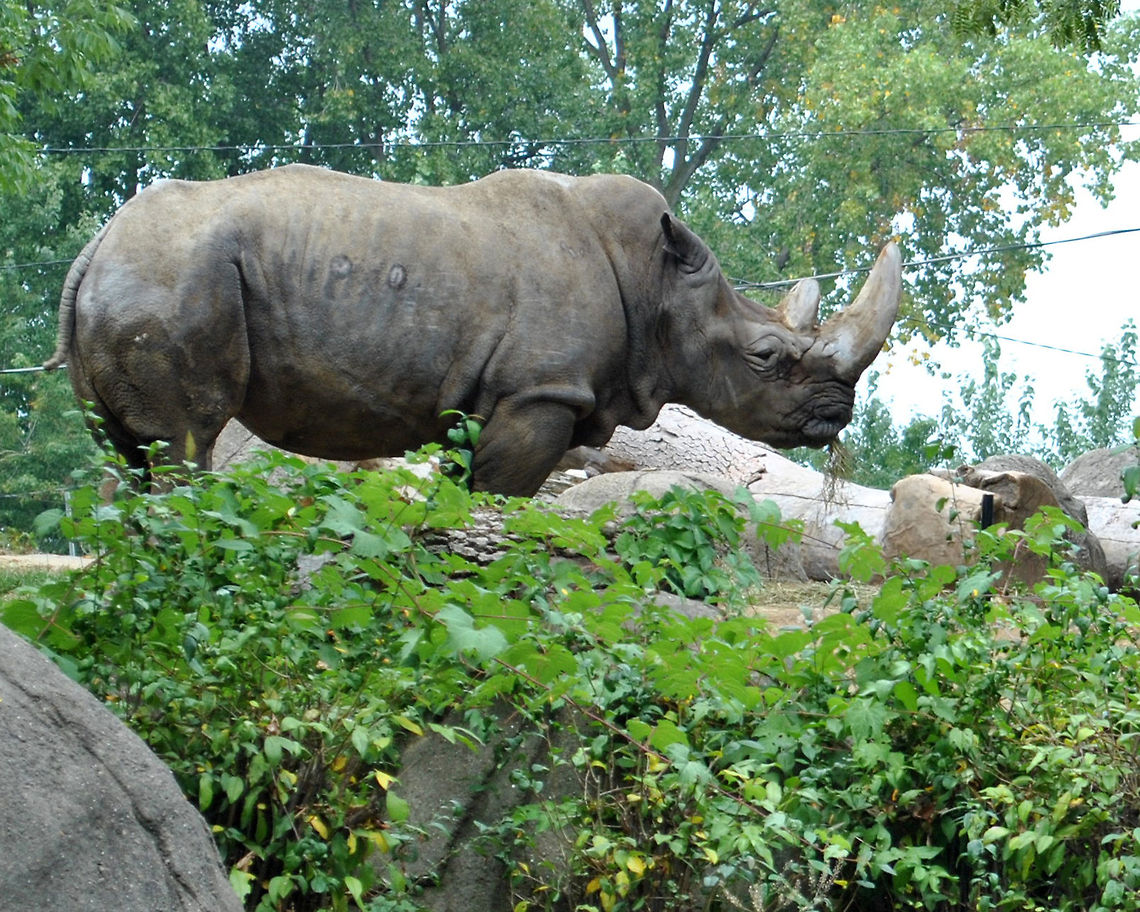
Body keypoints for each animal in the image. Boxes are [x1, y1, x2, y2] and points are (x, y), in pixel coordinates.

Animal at [44, 164, 901, 496]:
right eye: (768, 357)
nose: (839, 415)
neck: (660, 289)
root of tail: (96, 246)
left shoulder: (494, 401)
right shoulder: (539, 394)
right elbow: (500, 498)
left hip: (140, 277)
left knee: (126, 452)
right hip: (172, 278)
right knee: (184, 441)